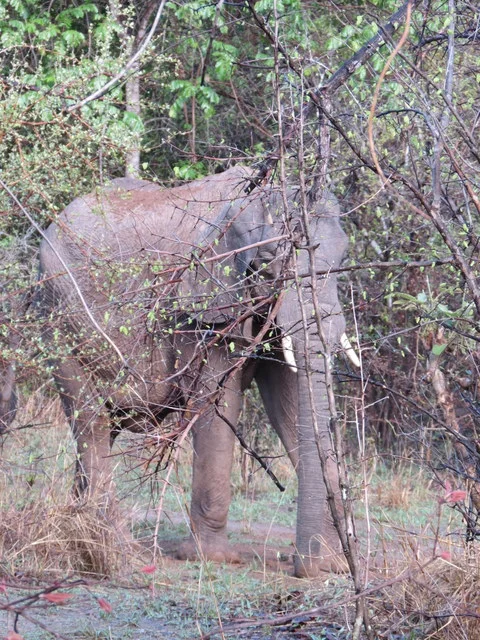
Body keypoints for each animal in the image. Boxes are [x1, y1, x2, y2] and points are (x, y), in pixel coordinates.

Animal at [35, 165, 355, 577]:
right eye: (267, 266)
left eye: (344, 255)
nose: (307, 566)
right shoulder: (198, 305)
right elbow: (218, 400)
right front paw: (214, 558)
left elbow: (287, 401)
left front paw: (329, 564)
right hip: (58, 317)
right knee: (92, 423)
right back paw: (115, 547)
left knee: (103, 428)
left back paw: (81, 526)